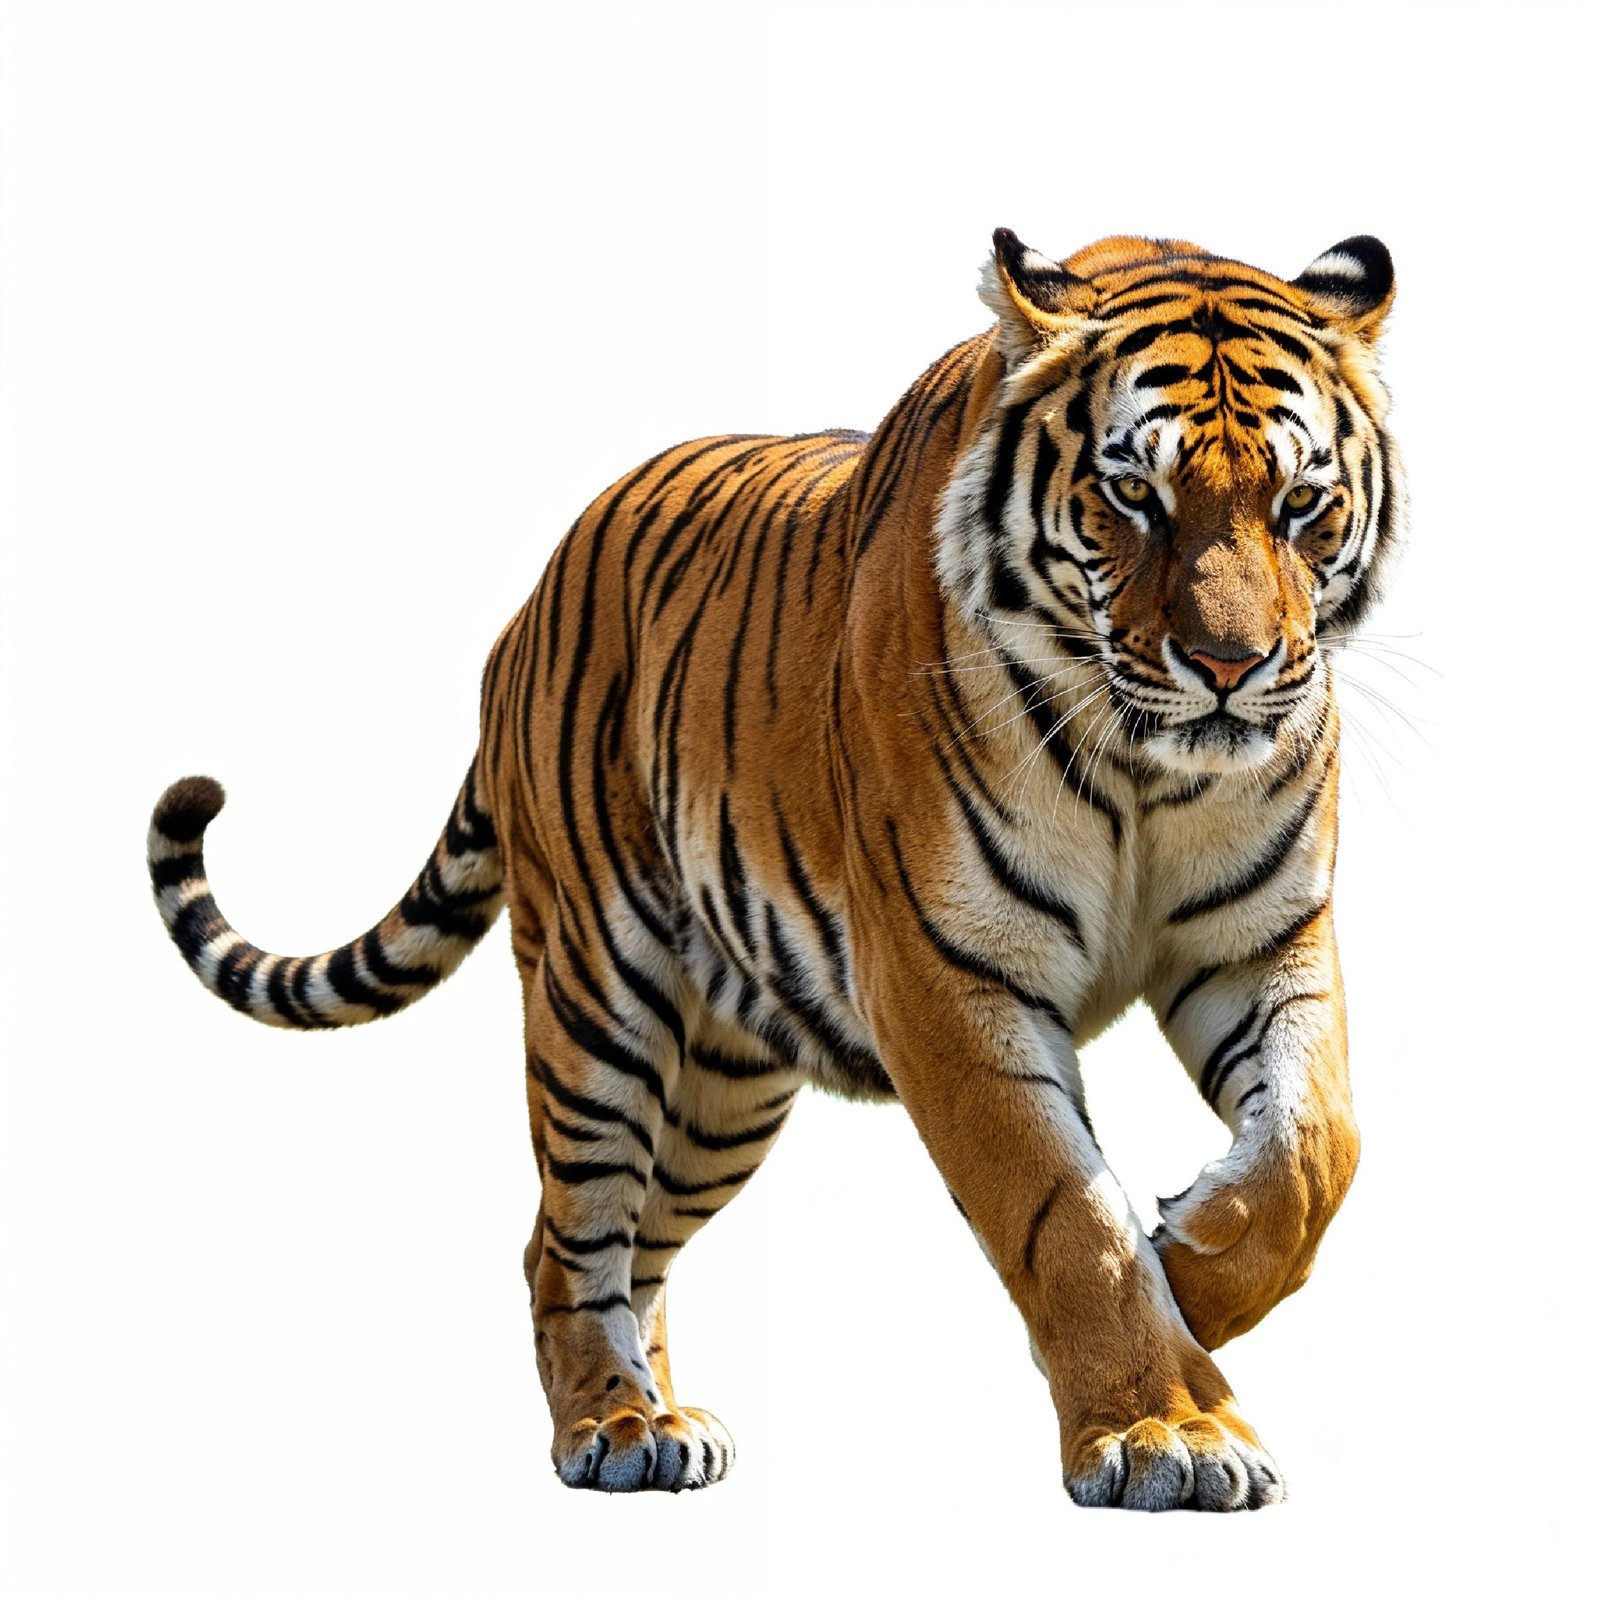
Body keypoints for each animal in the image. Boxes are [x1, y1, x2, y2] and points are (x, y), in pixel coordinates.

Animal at [147, 228, 1403, 1511]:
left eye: (1301, 502)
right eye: (1131, 495)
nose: (1229, 667)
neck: (1149, 774)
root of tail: (528, 605)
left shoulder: (1263, 942)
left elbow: (1317, 1146)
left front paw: (1192, 1270)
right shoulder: (946, 980)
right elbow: (1064, 1210)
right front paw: (1166, 1421)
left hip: (724, 1082)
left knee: (628, 1241)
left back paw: (662, 1414)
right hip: (599, 1000)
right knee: (568, 1234)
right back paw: (609, 1426)